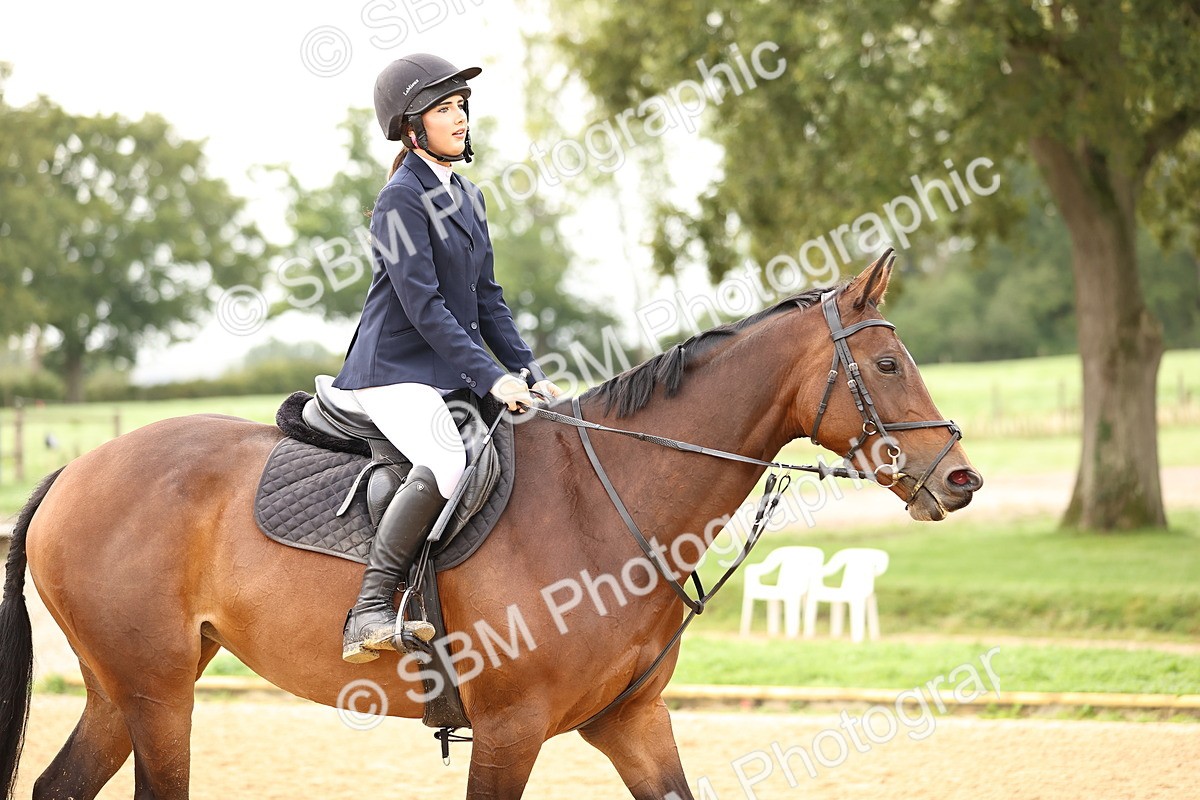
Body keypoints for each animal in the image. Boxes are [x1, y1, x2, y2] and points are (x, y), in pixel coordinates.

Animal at [1, 253, 981, 799]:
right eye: (887, 365)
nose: (961, 479)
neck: (608, 501)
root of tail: (74, 471)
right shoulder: (511, 731)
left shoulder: (630, 723)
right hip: (158, 692)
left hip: (123, 690)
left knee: (57, 786)